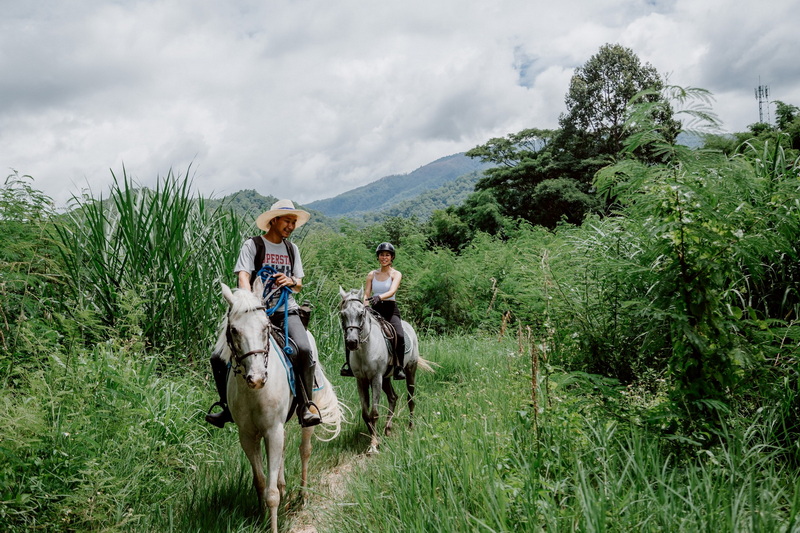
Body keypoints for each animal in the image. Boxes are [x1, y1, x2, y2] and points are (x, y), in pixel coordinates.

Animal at [219, 278, 344, 532]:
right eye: (234, 330)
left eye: (265, 327)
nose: (257, 378)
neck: (254, 393)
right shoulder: (247, 435)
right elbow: (260, 482)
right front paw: (260, 517)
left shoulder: (272, 430)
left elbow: (271, 493)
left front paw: (273, 524)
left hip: (307, 414)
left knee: (305, 450)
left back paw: (303, 496)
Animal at [340, 286, 434, 454]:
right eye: (343, 314)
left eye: (361, 313)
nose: (351, 342)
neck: (366, 349)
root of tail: (408, 326)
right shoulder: (361, 380)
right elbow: (365, 413)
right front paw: (374, 439)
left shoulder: (376, 378)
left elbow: (374, 413)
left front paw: (373, 445)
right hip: (386, 378)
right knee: (393, 398)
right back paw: (387, 429)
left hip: (410, 370)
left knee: (410, 398)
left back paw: (410, 426)